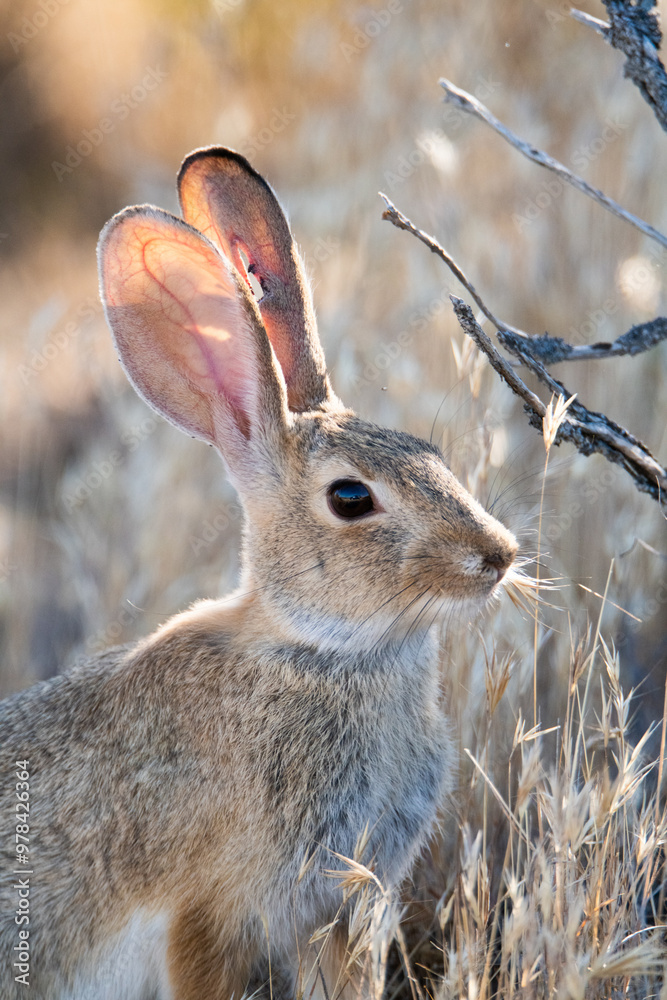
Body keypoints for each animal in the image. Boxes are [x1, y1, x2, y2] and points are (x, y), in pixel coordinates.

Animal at [0, 146, 517, 1000]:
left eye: (431, 452)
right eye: (350, 498)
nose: (497, 555)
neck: (329, 652)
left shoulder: (349, 907)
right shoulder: (213, 913)